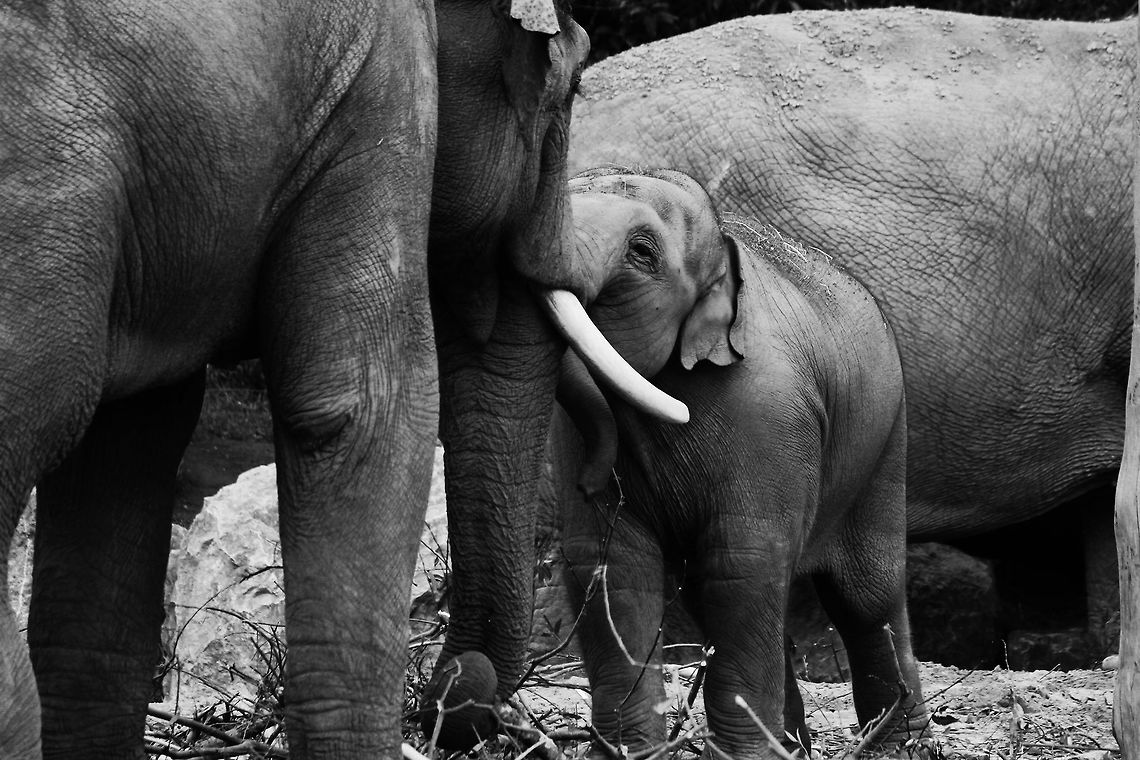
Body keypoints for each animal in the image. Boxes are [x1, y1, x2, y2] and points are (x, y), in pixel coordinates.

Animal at [549, 167, 927, 758]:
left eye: (641, 252)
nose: (590, 480)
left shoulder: (770, 412)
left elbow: (743, 557)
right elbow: (610, 561)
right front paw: (631, 751)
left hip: (887, 441)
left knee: (865, 597)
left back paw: (898, 746)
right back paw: (792, 747)